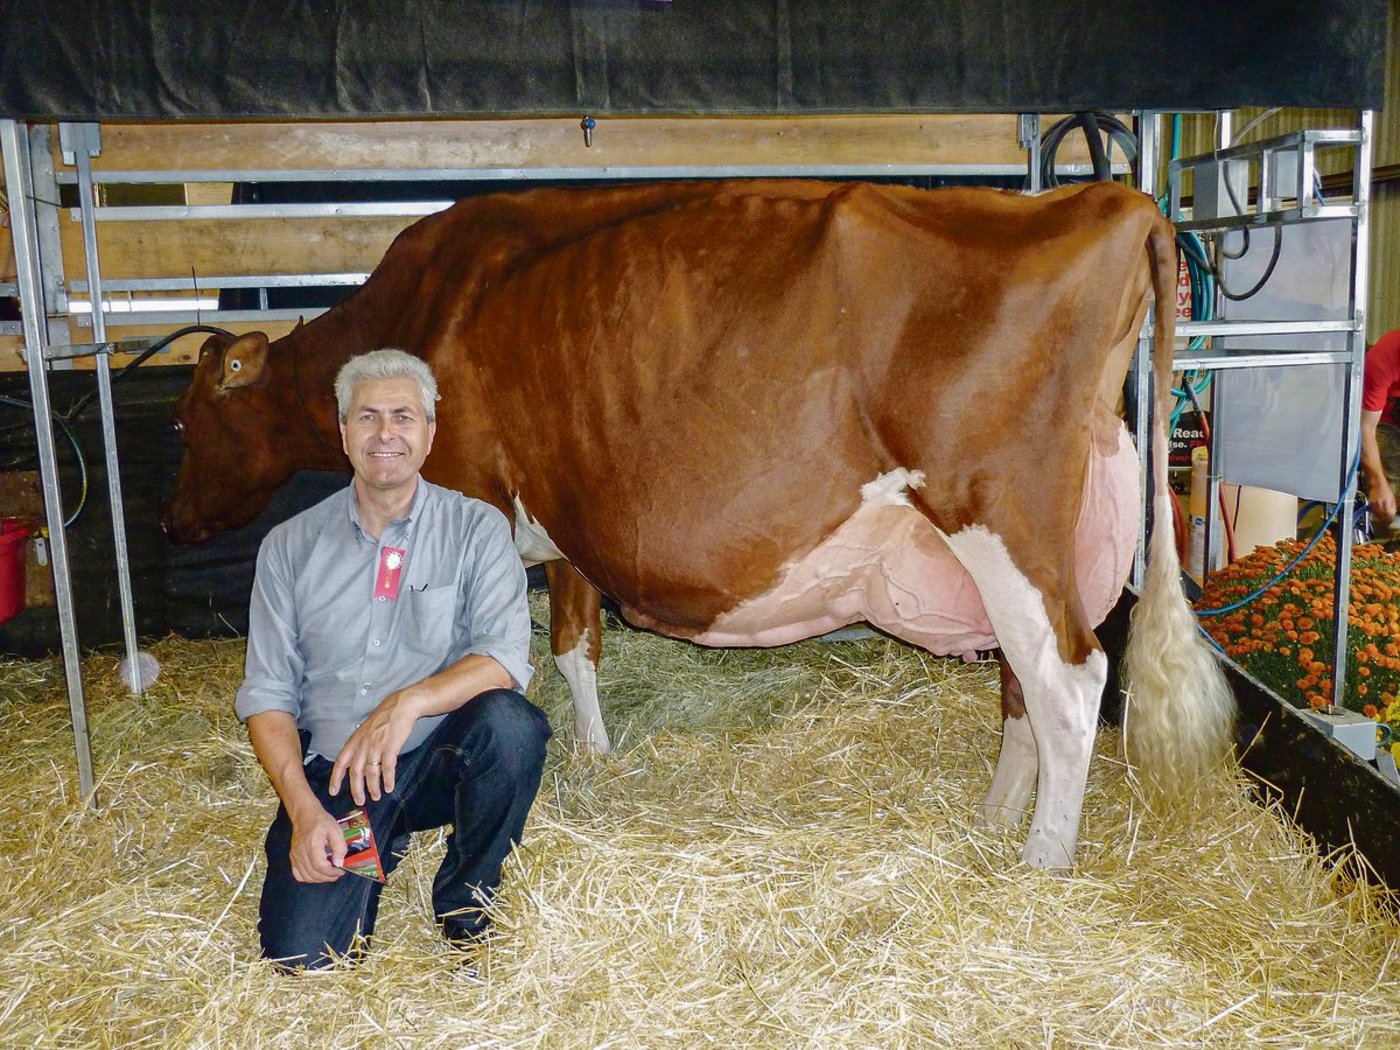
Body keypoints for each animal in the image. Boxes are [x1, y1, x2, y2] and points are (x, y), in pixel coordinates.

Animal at [163, 178, 1234, 871]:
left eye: (186, 419)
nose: (172, 526)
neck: (430, 303)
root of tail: (1107, 198)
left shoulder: (483, 501)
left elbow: (515, 655)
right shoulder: (567, 516)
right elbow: (576, 642)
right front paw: (596, 756)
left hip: (1000, 512)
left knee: (1068, 678)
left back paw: (1041, 856)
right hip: (1024, 543)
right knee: (1024, 681)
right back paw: (995, 814)